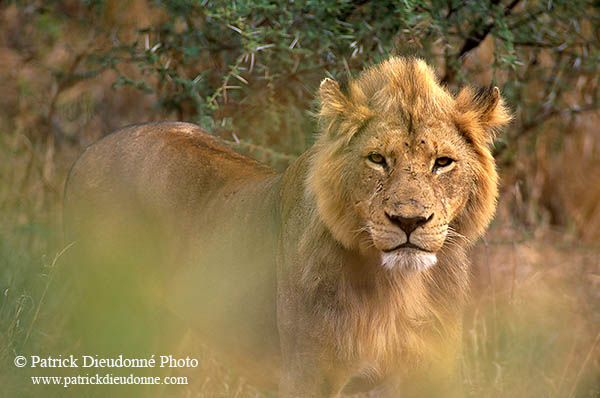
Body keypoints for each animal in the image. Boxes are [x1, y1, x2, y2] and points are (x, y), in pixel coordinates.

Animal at [63, 56, 508, 398]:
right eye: (377, 159)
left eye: (443, 162)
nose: (409, 220)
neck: (398, 290)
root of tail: (87, 152)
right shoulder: (309, 375)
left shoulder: (429, 375)